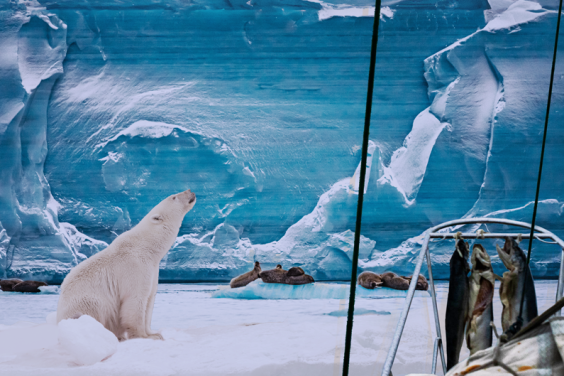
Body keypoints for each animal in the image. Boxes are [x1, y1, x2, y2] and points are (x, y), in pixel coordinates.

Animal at [55, 189, 196, 340]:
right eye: (174, 197)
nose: (190, 191)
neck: (147, 247)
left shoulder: (152, 270)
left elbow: (149, 300)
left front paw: (154, 333)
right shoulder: (134, 267)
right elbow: (135, 300)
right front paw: (144, 336)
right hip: (84, 302)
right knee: (95, 307)